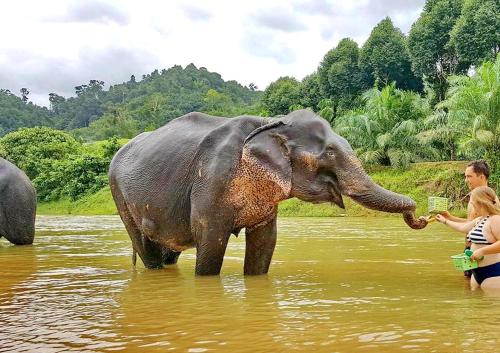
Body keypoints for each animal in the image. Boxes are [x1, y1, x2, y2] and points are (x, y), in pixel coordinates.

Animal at [108, 110, 426, 276]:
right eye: (330, 152)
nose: (419, 217)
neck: (271, 122)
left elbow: (265, 241)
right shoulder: (211, 179)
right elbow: (210, 238)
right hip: (119, 193)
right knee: (144, 245)